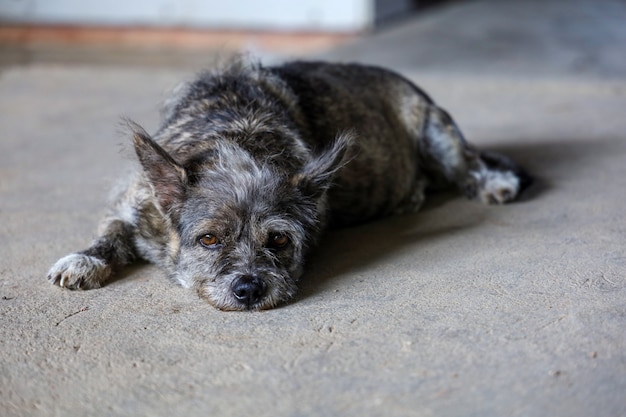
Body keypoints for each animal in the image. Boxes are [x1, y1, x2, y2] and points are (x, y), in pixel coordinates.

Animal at [46, 60, 528, 310]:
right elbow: (110, 233)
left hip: (436, 133)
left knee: (467, 166)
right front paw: (85, 259)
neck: (233, 136)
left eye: (278, 240)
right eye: (208, 240)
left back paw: (494, 181)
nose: (248, 289)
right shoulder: (132, 207)